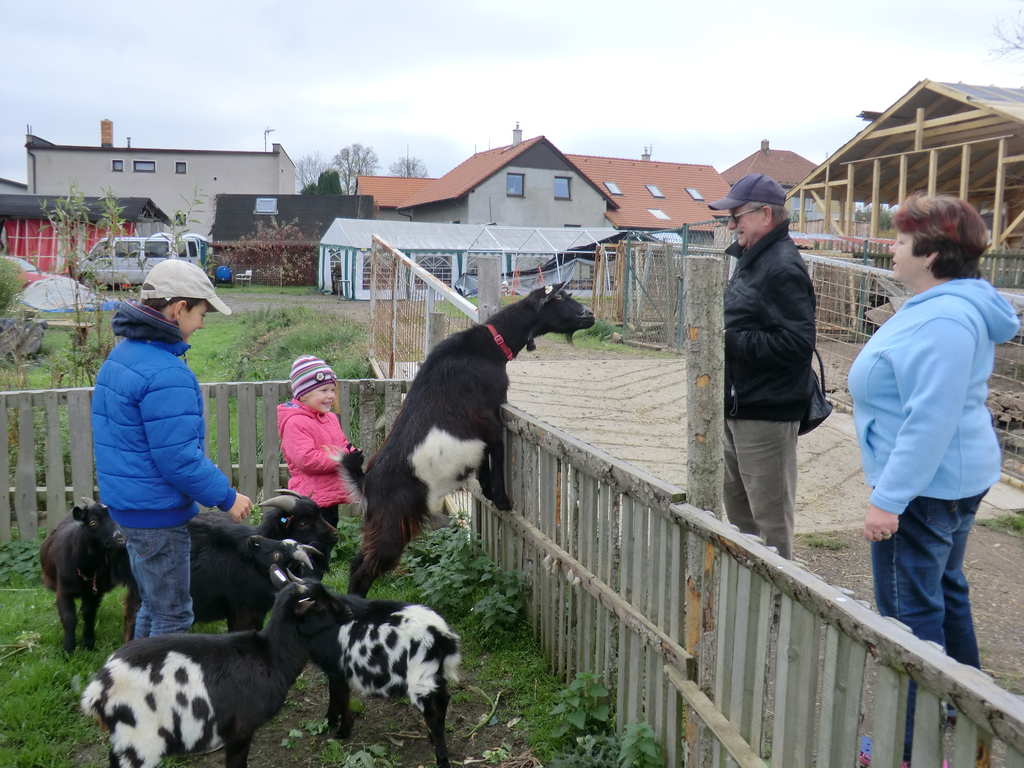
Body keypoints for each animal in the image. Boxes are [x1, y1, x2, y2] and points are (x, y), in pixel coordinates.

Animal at [39, 499, 139, 655]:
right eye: (93, 522)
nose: (121, 538)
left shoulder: (94, 592)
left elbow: (89, 615)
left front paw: (88, 645)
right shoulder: (63, 591)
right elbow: (69, 618)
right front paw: (68, 650)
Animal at [79, 581, 344, 768]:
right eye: (321, 604)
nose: (348, 610)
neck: (271, 655)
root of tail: (98, 689)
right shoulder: (241, 730)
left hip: (123, 740)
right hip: (139, 741)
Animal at [339, 282, 593, 593]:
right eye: (558, 297)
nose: (590, 315)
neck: (486, 349)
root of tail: (366, 483)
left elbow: (483, 460)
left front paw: (487, 491)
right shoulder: (491, 419)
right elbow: (497, 450)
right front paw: (503, 500)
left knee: (356, 562)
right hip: (393, 522)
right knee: (364, 571)